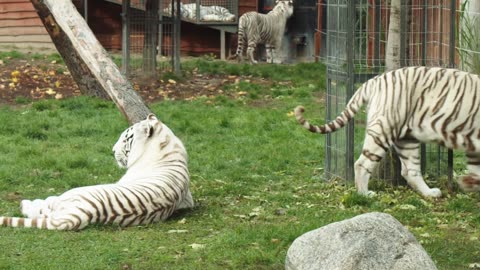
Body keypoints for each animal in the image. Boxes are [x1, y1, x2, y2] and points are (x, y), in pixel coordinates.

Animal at [2, 114, 193, 230]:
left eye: (126, 138)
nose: (112, 150)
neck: (168, 145)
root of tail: (81, 214)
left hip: (70, 194)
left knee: (46, 206)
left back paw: (25, 204)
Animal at [294, 67, 480, 198]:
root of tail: (375, 79)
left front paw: (469, 183)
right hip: (384, 130)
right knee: (362, 163)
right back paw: (364, 195)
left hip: (407, 138)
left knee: (410, 171)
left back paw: (429, 193)